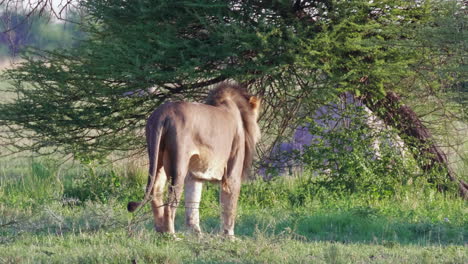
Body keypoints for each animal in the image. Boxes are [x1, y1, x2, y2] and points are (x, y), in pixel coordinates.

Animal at [126, 82, 262, 235]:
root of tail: (163, 113)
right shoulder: (233, 170)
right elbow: (229, 205)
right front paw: (229, 235)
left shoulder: (195, 174)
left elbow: (193, 200)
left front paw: (196, 233)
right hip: (178, 163)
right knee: (170, 203)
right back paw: (171, 235)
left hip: (157, 156)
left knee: (155, 191)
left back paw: (160, 231)